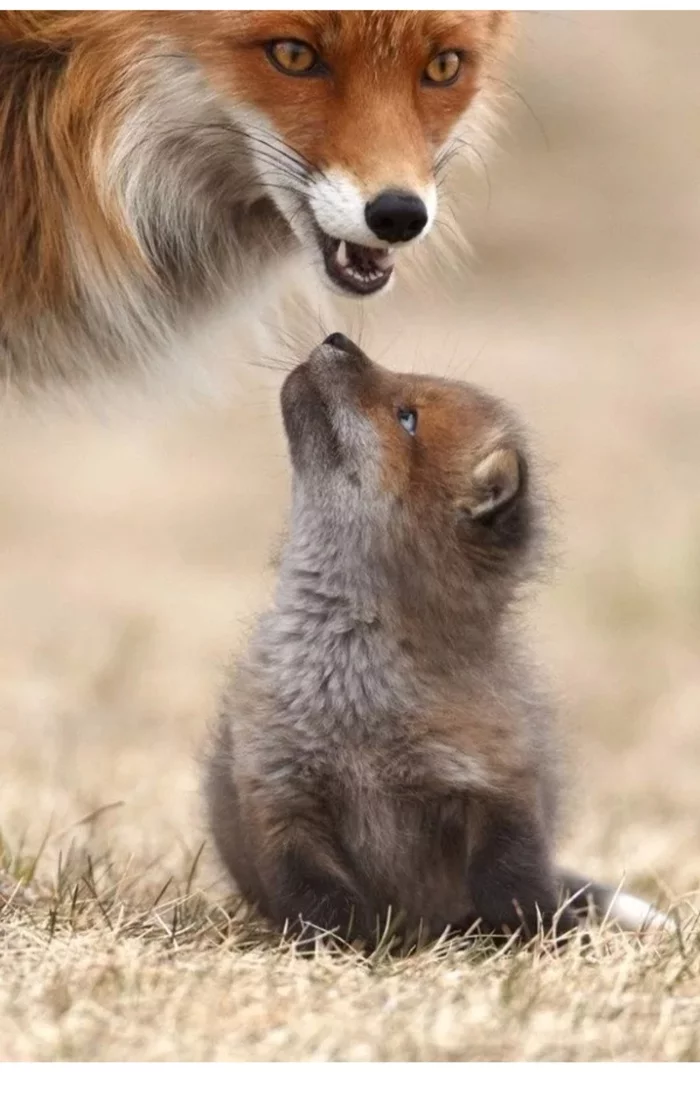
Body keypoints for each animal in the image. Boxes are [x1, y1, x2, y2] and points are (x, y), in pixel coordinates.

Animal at [205, 333, 672, 948]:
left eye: (407, 418)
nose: (337, 338)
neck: (355, 693)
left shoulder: (498, 782)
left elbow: (514, 879)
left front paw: (551, 937)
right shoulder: (281, 796)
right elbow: (317, 900)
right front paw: (346, 946)